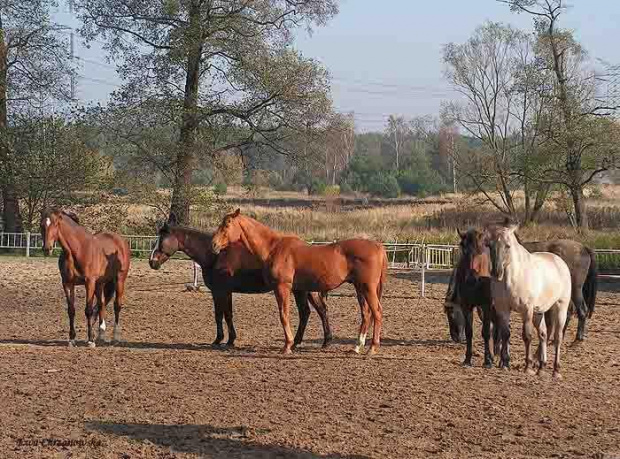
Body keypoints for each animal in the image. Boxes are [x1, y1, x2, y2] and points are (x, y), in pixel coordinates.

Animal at [40, 210, 131, 346]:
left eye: (55, 224)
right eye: (41, 225)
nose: (47, 248)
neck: (77, 250)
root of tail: (120, 241)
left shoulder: (89, 282)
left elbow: (88, 310)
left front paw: (90, 340)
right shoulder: (68, 284)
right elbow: (71, 310)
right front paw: (72, 339)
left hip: (119, 279)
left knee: (117, 305)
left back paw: (115, 337)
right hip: (100, 284)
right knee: (101, 304)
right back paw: (101, 335)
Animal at [148, 216, 332, 348]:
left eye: (162, 239)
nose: (152, 262)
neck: (215, 256)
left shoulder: (222, 291)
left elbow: (225, 315)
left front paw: (226, 340)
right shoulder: (219, 292)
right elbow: (220, 314)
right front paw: (222, 339)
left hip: (302, 291)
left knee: (310, 312)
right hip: (305, 290)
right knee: (315, 311)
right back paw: (318, 341)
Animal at [212, 208, 388, 356]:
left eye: (227, 224)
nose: (214, 244)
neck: (273, 248)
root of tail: (378, 246)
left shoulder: (282, 287)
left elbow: (284, 315)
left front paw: (287, 345)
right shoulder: (298, 290)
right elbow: (301, 313)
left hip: (367, 288)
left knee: (377, 312)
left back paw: (372, 348)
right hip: (360, 288)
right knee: (366, 314)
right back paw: (357, 346)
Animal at [484, 225, 572, 380]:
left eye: (508, 246)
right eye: (489, 245)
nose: (496, 272)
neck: (513, 278)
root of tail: (559, 261)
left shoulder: (526, 310)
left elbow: (527, 336)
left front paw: (528, 367)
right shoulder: (503, 309)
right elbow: (505, 334)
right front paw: (505, 364)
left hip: (560, 307)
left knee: (557, 337)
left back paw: (556, 370)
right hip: (539, 312)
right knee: (543, 334)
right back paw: (541, 367)